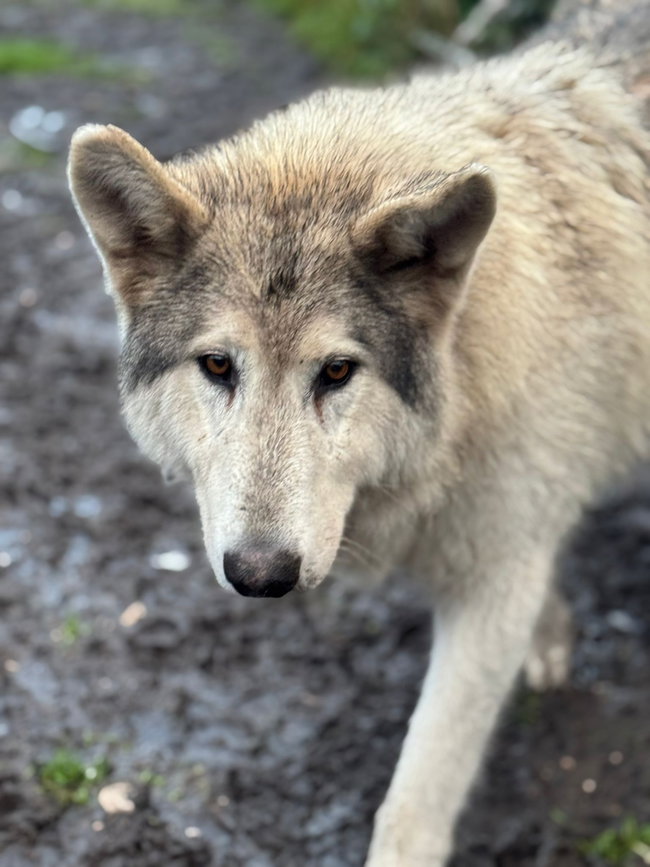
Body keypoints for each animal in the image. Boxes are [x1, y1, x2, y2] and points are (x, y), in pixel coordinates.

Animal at [68, 2, 650, 862]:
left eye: (337, 372)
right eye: (217, 365)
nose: (261, 574)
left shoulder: (493, 572)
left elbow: (413, 801)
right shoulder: (505, 538)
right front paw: (550, 636)